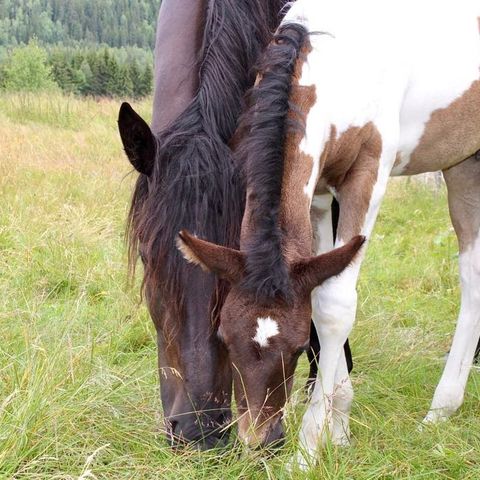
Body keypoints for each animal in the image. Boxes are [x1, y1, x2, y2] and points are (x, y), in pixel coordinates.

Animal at [178, 0, 480, 466]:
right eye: (224, 338)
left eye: (299, 348)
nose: (257, 441)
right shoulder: (318, 192)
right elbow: (320, 294)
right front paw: (338, 428)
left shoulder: (367, 172)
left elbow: (336, 305)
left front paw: (306, 449)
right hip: (464, 162)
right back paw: (442, 409)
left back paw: (440, 407)